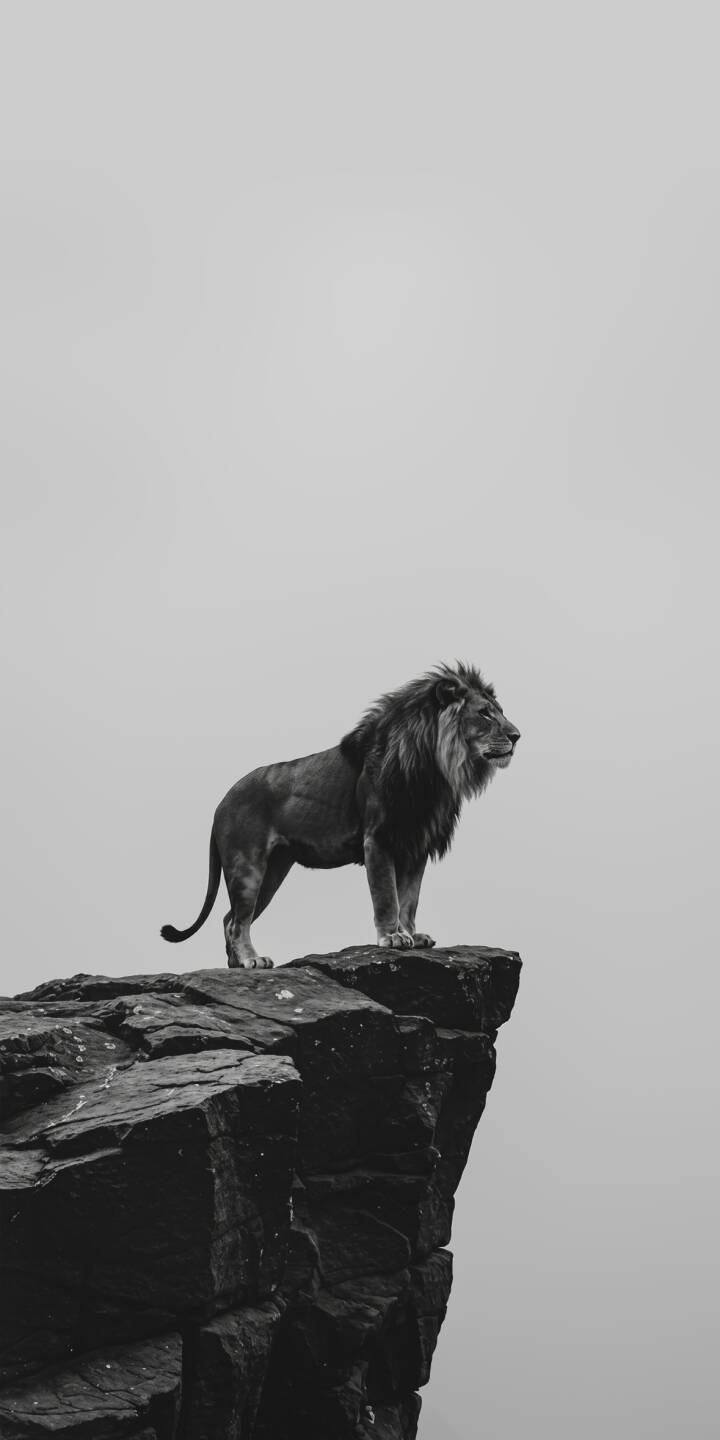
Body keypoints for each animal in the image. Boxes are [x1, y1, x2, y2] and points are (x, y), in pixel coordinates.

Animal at [161, 662, 520, 968]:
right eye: (485, 714)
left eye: (500, 712)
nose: (517, 736)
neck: (435, 768)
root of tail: (221, 803)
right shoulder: (379, 839)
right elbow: (387, 897)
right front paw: (392, 936)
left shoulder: (416, 845)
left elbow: (410, 899)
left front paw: (411, 934)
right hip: (247, 865)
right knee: (237, 921)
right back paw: (252, 960)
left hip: (273, 870)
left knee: (228, 918)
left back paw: (238, 964)